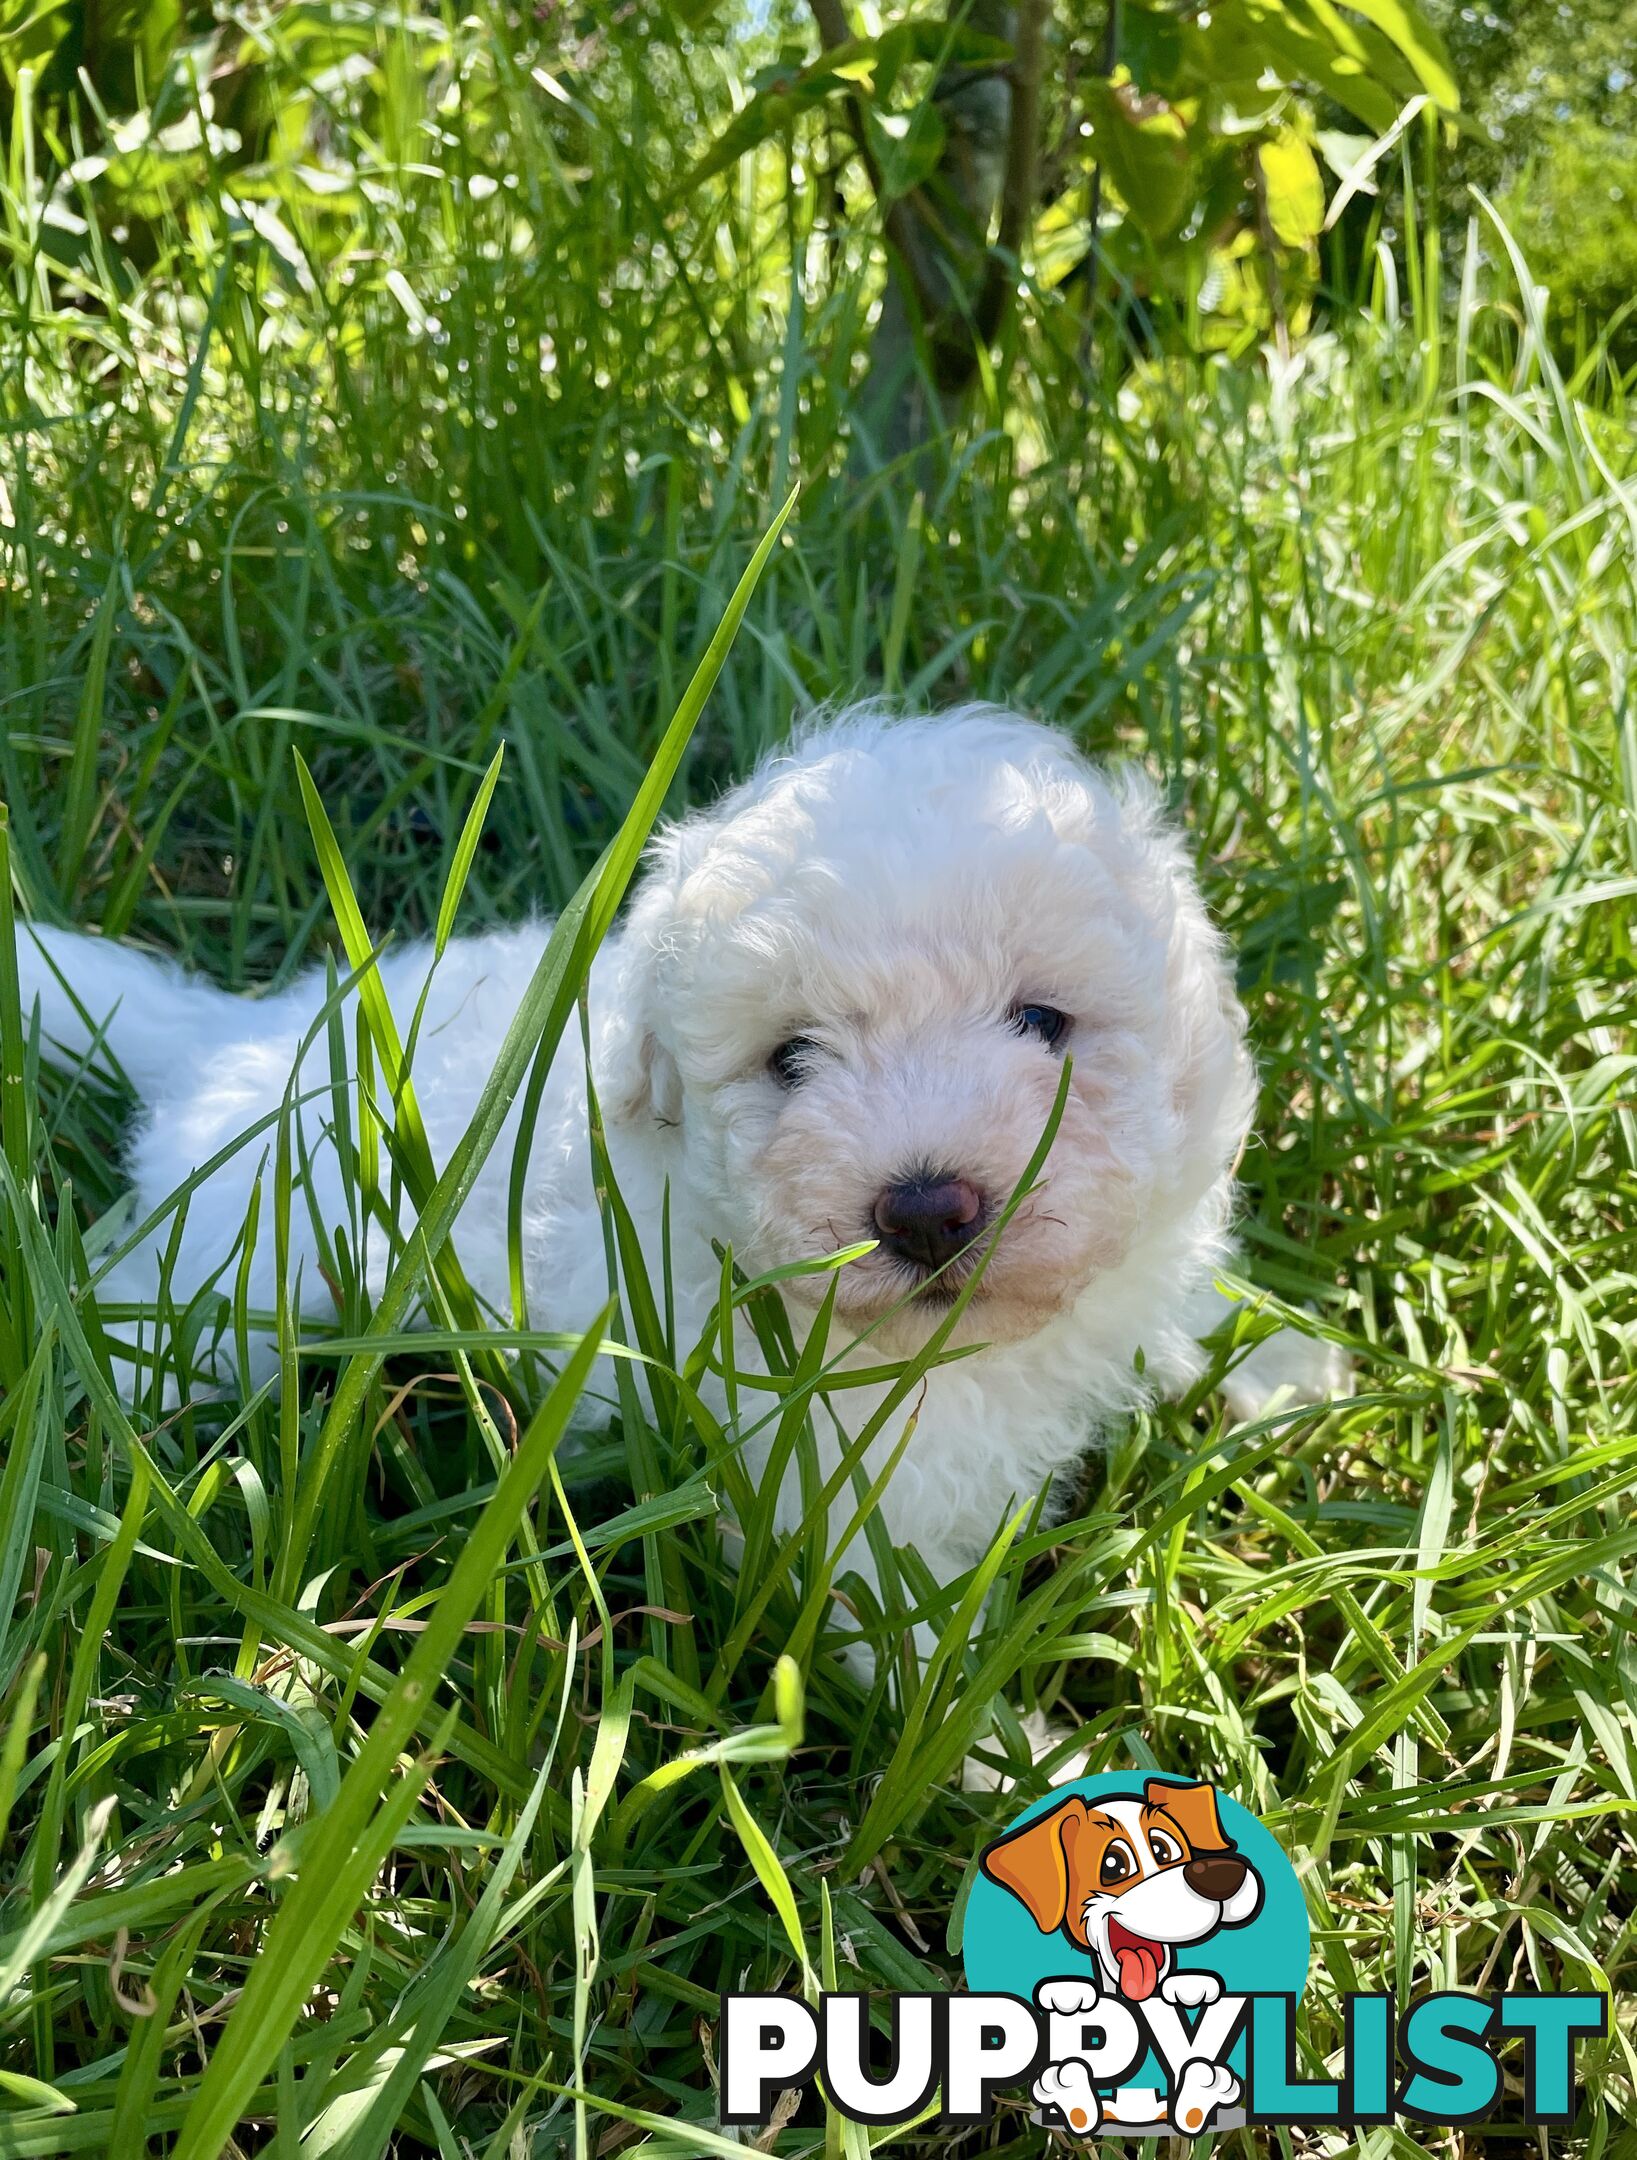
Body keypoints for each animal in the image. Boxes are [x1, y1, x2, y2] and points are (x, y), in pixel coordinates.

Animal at [19, 708, 1338, 1650]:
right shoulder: (851, 1507)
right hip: (233, 1268)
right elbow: (909, 1651)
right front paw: (1017, 1778)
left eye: (1042, 1022)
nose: (924, 1211)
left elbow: (1182, 1309)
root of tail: (244, 1036)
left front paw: (1288, 1369)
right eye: (791, 1058)